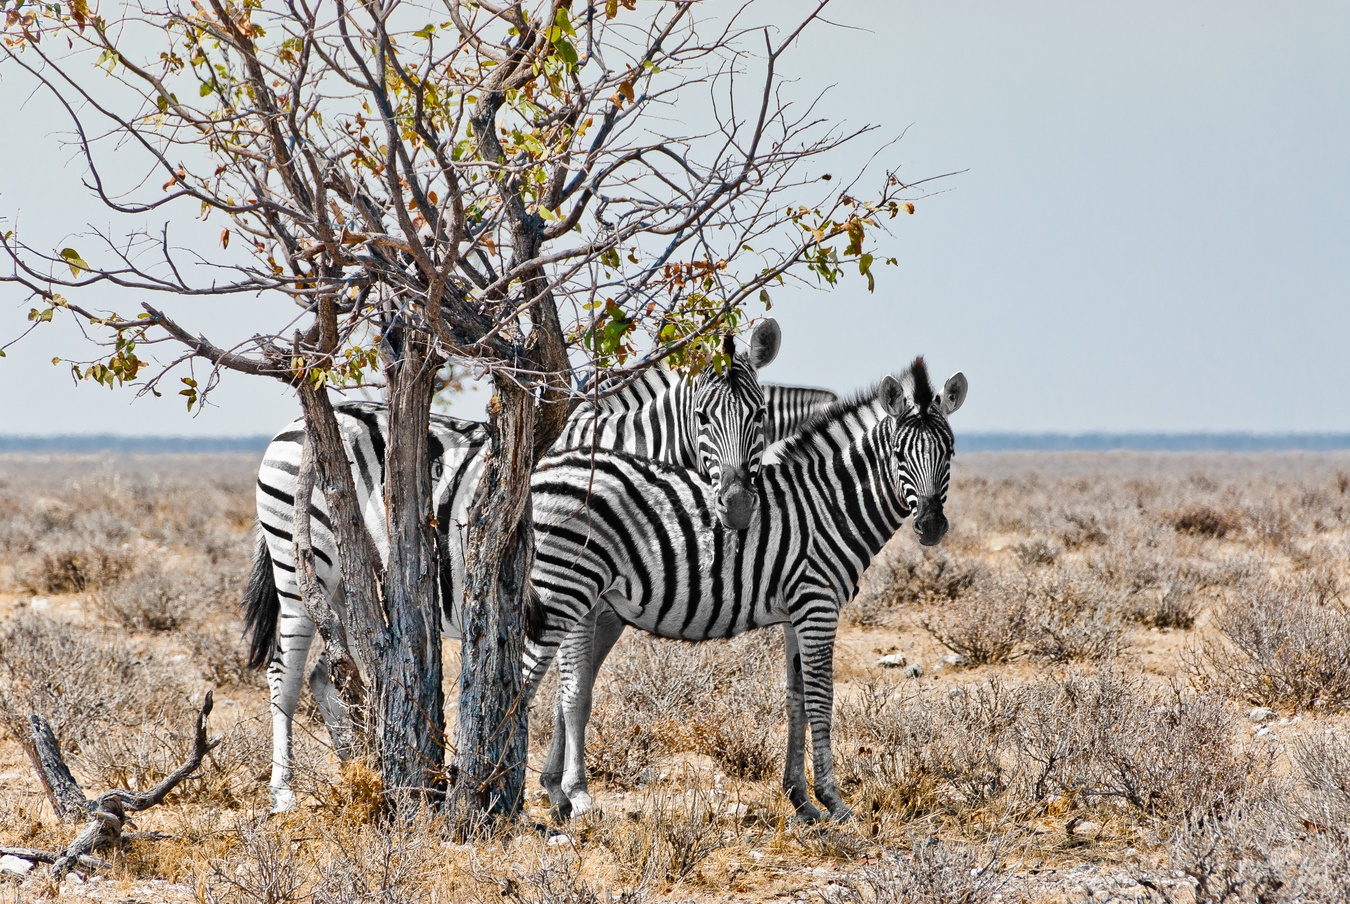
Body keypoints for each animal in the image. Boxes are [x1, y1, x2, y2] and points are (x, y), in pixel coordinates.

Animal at [246, 321, 790, 812]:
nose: (738, 507)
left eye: (761, 413)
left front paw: (555, 787)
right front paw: (577, 793)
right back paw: (284, 792)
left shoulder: (604, 609)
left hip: (343, 584)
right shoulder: (572, 591)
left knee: (326, 670)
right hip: (299, 566)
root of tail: (295, 427)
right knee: (285, 673)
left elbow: (579, 692)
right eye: (702, 416)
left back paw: (358, 765)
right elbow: (573, 694)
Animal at [521, 357, 968, 821]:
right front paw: (833, 800)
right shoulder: (818, 604)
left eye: (950, 452)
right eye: (899, 454)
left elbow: (796, 698)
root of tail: (545, 466)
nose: (931, 527)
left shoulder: (796, 613)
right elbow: (821, 698)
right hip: (564, 587)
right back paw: (529, 798)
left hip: (584, 595)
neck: (828, 506)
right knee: (528, 679)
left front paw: (801, 799)